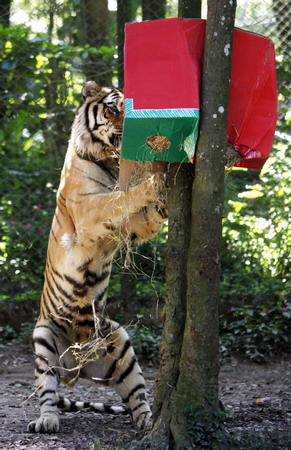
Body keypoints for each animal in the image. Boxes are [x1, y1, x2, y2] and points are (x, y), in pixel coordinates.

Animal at [28, 80, 168, 432]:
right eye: (113, 108)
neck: (109, 160)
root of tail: (77, 368)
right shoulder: (89, 210)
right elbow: (118, 198)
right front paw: (151, 183)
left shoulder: (130, 228)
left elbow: (146, 215)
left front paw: (165, 190)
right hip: (43, 339)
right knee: (47, 392)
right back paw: (46, 421)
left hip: (120, 345)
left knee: (137, 396)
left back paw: (148, 423)